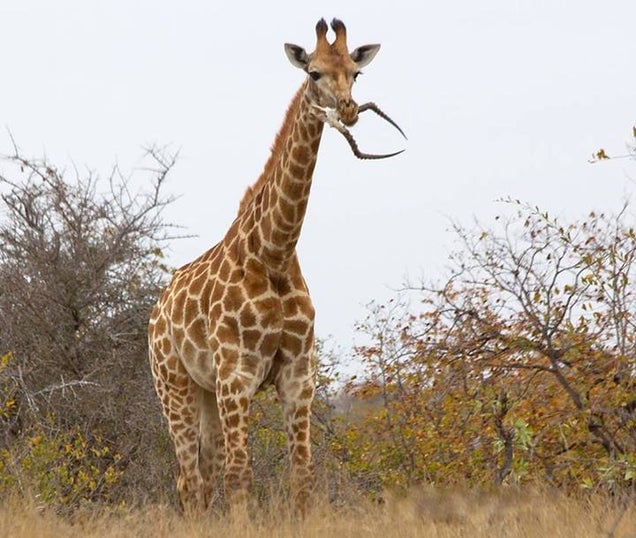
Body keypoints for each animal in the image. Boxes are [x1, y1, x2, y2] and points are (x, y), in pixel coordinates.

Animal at [150, 15, 398, 510]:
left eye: (356, 73)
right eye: (313, 73)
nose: (348, 111)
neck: (275, 253)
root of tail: (156, 312)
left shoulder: (298, 375)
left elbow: (302, 474)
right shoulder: (237, 376)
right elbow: (240, 475)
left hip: (205, 391)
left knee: (202, 477)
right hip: (173, 384)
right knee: (190, 479)